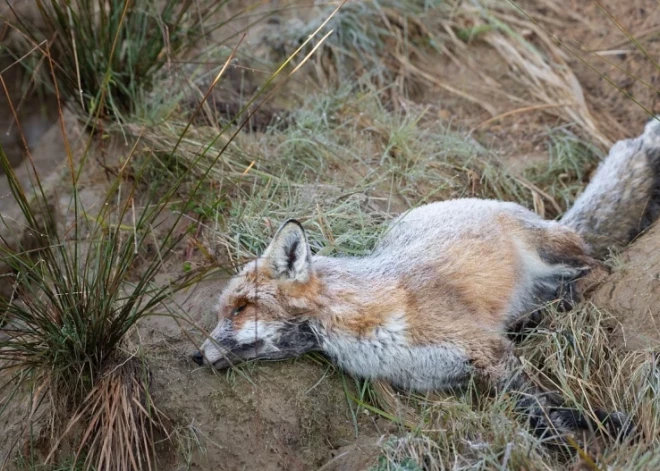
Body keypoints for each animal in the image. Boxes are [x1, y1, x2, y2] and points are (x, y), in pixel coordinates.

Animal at [191, 118, 660, 442]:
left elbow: (542, 412)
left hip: (551, 251)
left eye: (240, 308)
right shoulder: (449, 377)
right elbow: (541, 410)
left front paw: (596, 431)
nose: (194, 357)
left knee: (599, 267)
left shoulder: (488, 352)